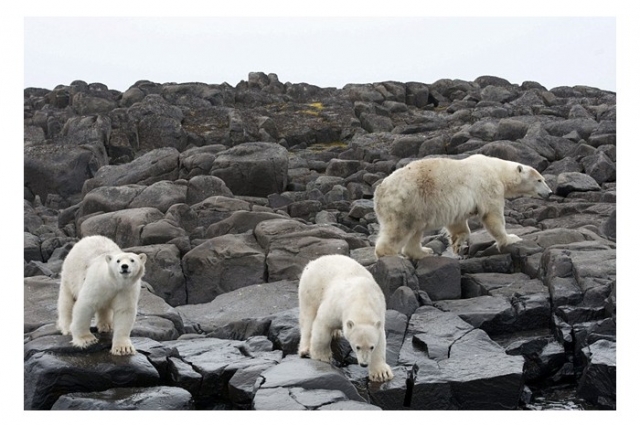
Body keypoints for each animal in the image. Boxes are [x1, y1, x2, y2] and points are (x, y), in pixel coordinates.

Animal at [372, 154, 552, 260]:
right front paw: (511, 238)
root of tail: (379, 192)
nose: (550, 193)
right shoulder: (488, 186)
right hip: (406, 201)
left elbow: (457, 223)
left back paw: (423, 251)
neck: (496, 169)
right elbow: (492, 215)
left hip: (417, 207)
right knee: (400, 229)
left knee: (416, 231)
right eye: (539, 180)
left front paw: (458, 243)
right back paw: (390, 254)